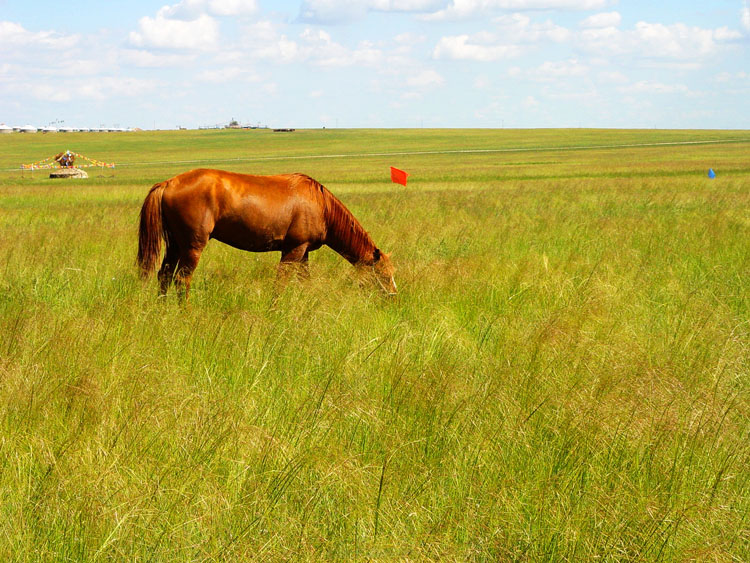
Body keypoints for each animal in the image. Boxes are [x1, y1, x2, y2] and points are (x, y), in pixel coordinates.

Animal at [139, 169, 402, 302]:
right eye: (383, 275)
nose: (394, 297)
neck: (321, 205)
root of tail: (169, 183)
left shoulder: (303, 253)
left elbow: (304, 282)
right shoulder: (293, 250)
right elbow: (280, 284)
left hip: (175, 245)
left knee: (164, 275)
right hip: (192, 246)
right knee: (181, 279)